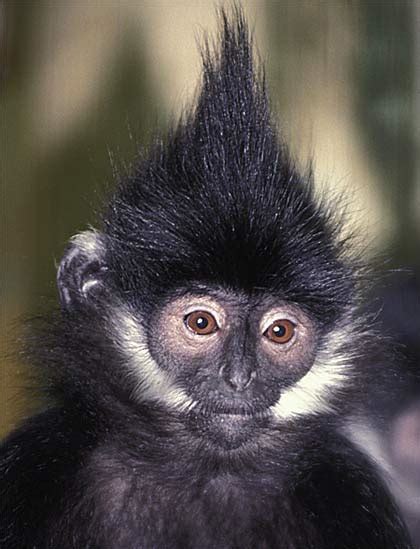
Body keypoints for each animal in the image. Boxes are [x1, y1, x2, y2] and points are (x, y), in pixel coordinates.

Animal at [0, 8, 414, 548]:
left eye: (279, 331)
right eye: (200, 323)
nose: (238, 379)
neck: (204, 471)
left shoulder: (346, 485)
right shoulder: (36, 465)